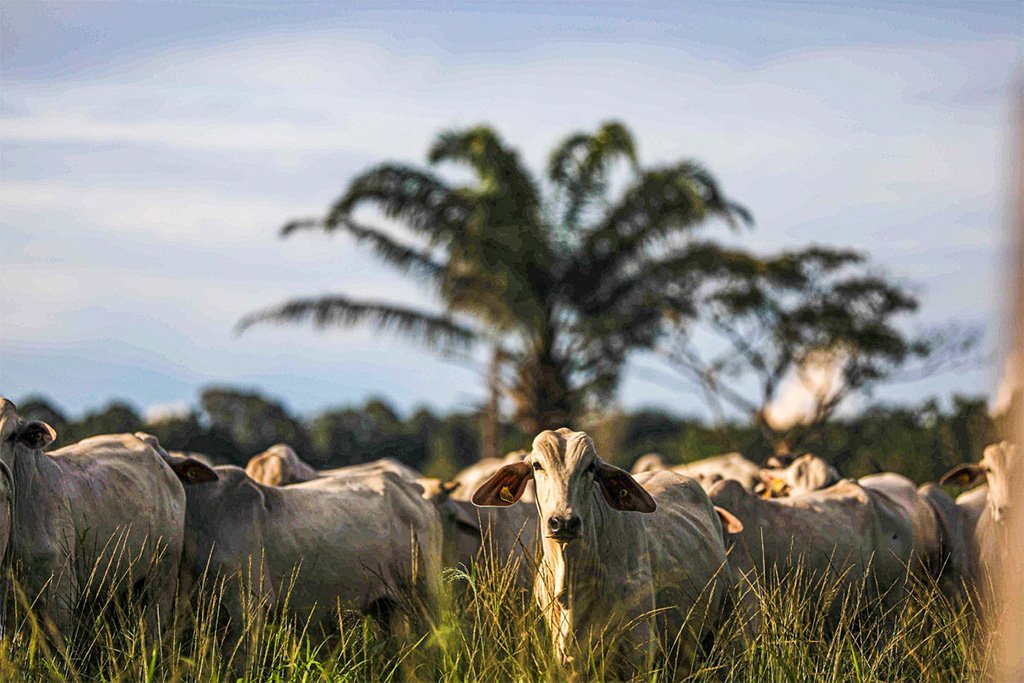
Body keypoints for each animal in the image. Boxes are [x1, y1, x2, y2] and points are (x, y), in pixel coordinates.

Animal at [468, 430, 741, 675]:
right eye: (537, 465)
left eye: (590, 467)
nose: (563, 522)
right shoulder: (565, 659)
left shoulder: (640, 651)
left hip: (720, 628)